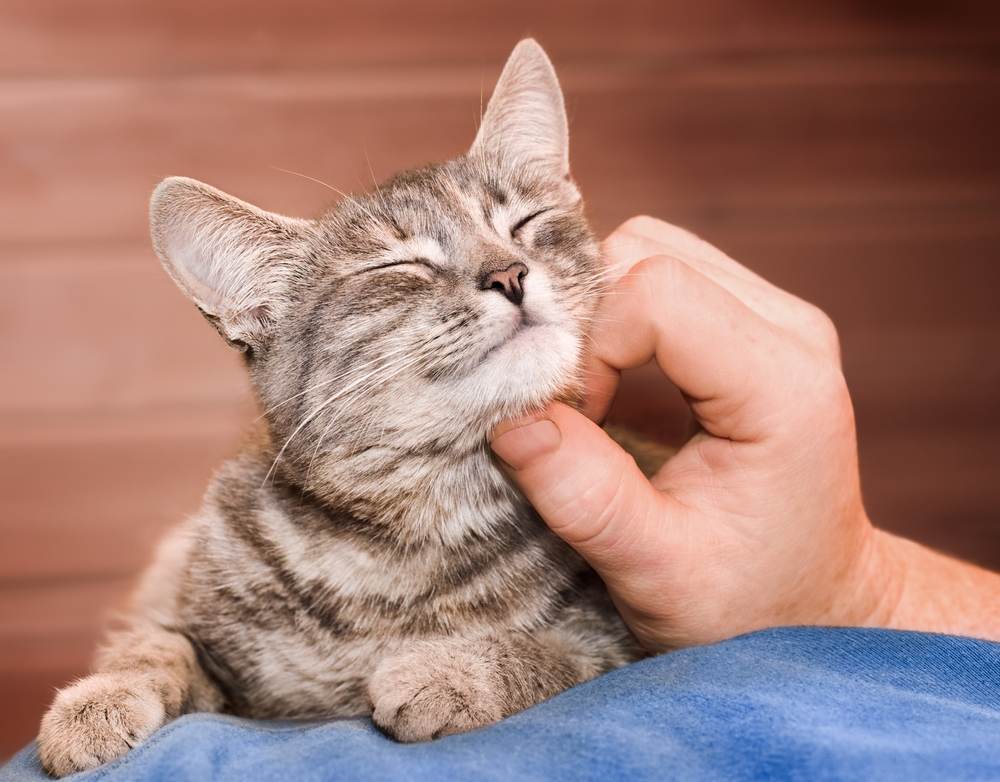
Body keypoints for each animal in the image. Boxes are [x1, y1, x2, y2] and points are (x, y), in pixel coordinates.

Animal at [37, 38, 648, 776]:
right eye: (398, 268)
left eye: (526, 223)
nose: (510, 273)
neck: (401, 534)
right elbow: (159, 643)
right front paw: (99, 697)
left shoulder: (623, 635)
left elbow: (560, 653)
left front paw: (453, 671)